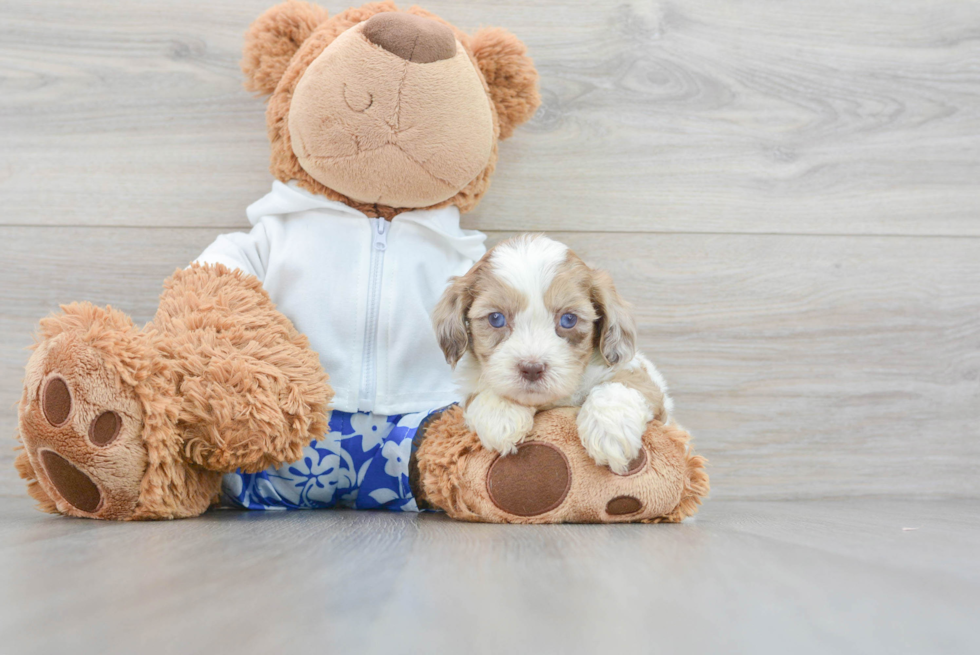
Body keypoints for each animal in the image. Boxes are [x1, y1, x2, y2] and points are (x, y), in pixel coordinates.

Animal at [432, 233, 668, 474]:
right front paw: (500, 414)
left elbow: (621, 386)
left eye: (569, 319)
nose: (531, 369)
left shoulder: (643, 380)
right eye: (495, 318)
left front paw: (610, 430)